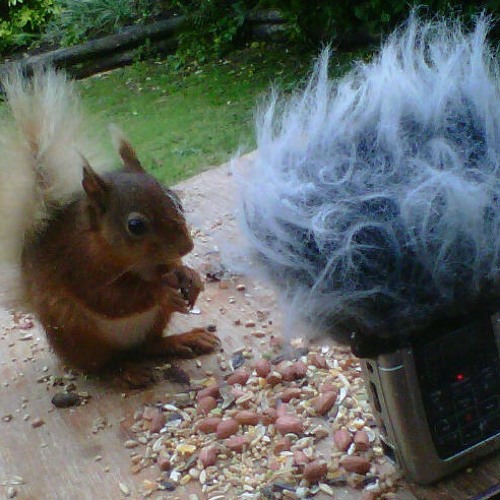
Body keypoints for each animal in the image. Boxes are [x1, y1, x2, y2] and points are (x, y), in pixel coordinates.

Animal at [0, 67, 219, 372]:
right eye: (135, 226)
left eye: (175, 199)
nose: (187, 247)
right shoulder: (77, 263)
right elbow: (111, 299)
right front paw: (161, 291)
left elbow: (169, 268)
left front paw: (189, 275)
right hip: (74, 329)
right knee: (102, 364)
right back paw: (122, 373)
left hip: (153, 322)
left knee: (147, 346)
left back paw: (181, 340)